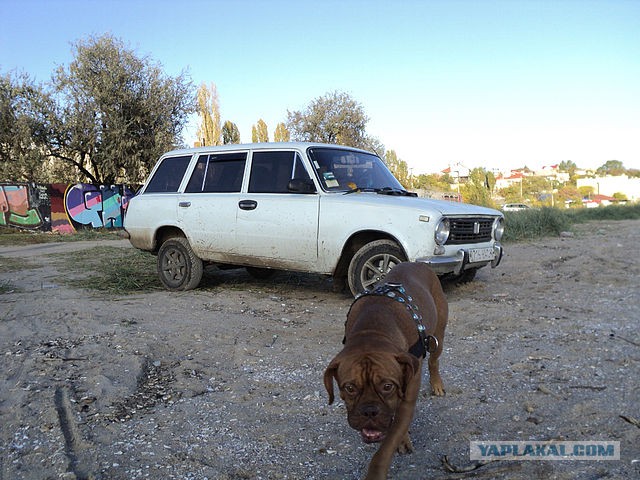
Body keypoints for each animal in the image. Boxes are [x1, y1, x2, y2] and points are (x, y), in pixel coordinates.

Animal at [322, 262, 448, 480]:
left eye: (388, 386)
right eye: (349, 388)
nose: (369, 411)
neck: (372, 331)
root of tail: (418, 262)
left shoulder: (406, 401)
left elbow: (385, 448)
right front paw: (403, 440)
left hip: (437, 337)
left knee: (434, 361)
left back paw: (437, 384)